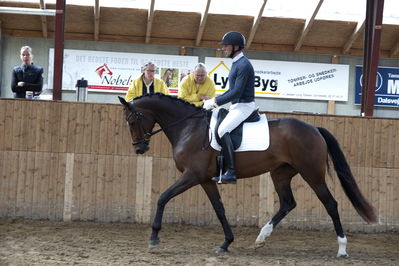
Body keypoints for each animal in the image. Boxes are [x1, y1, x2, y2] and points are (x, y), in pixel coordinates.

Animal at [117, 93, 376, 258]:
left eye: (132, 120)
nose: (139, 148)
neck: (189, 129)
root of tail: (314, 129)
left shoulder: (192, 176)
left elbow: (163, 197)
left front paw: (153, 238)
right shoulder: (205, 180)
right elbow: (219, 209)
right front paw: (226, 243)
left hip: (312, 173)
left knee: (330, 204)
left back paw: (342, 249)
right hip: (280, 174)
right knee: (288, 203)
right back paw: (261, 238)